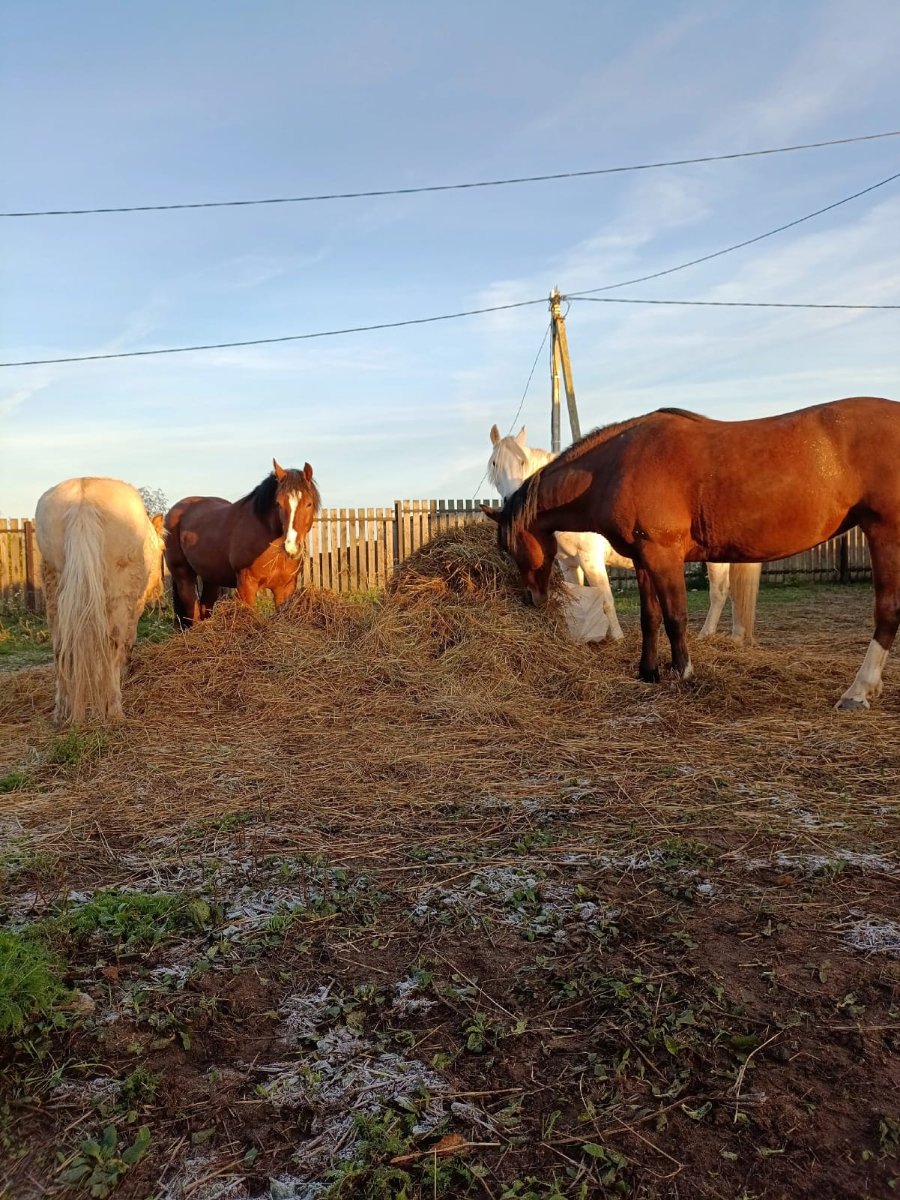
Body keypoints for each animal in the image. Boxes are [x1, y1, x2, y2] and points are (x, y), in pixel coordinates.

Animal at [35, 477, 166, 725]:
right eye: (164, 551)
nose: (160, 595)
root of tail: (82, 500)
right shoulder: (133, 607)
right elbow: (124, 644)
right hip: (118, 594)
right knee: (112, 643)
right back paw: (114, 710)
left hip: (55, 589)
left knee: (60, 647)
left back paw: (62, 711)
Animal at [164, 460, 320, 629]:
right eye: (278, 503)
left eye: (309, 504)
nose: (292, 548)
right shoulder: (247, 586)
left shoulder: (284, 588)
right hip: (183, 575)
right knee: (193, 612)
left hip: (211, 578)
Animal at [488, 424, 760, 643]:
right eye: (494, 464)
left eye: (522, 461)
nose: (512, 499)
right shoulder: (568, 563)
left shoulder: (591, 560)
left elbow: (606, 600)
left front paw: (617, 638)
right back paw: (737, 636)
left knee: (719, 591)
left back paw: (706, 635)